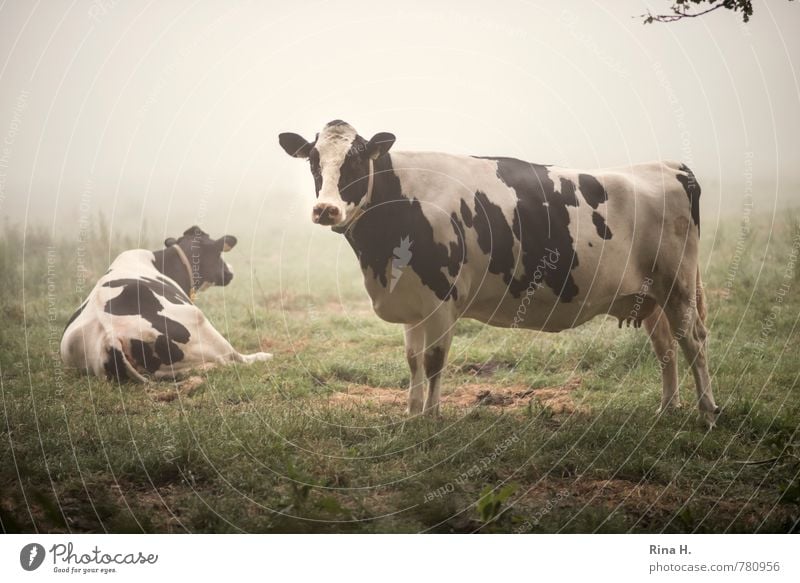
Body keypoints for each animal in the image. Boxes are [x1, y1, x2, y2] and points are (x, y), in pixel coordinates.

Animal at [60, 228, 272, 384]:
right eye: (219, 254)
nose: (231, 271)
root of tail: (109, 336)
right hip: (200, 322)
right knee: (233, 358)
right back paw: (262, 356)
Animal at [280, 120, 720, 428]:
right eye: (314, 162)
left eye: (356, 160)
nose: (325, 209)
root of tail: (668, 166)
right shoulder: (412, 299)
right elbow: (413, 360)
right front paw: (411, 414)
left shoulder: (442, 298)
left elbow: (435, 360)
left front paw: (431, 419)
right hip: (651, 296)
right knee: (665, 347)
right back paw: (667, 408)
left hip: (678, 285)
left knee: (693, 341)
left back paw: (707, 412)